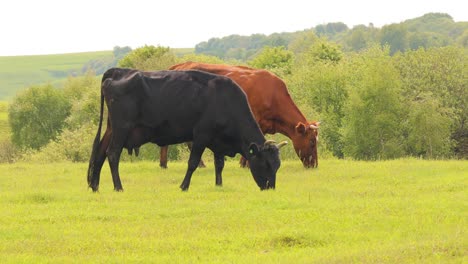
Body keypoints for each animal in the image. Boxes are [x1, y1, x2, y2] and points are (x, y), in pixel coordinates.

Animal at [86, 67, 288, 192]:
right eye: (266, 164)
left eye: (277, 165)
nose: (270, 187)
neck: (226, 100)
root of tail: (118, 71)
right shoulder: (201, 135)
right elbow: (193, 162)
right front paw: (184, 186)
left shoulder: (217, 140)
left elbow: (219, 164)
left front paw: (219, 185)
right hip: (122, 128)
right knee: (112, 154)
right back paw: (118, 187)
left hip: (111, 129)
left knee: (101, 152)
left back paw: (95, 186)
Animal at [159, 62, 320, 168]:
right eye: (312, 141)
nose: (314, 165)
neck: (273, 95)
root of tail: (179, 65)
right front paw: (248, 164)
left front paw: (244, 163)